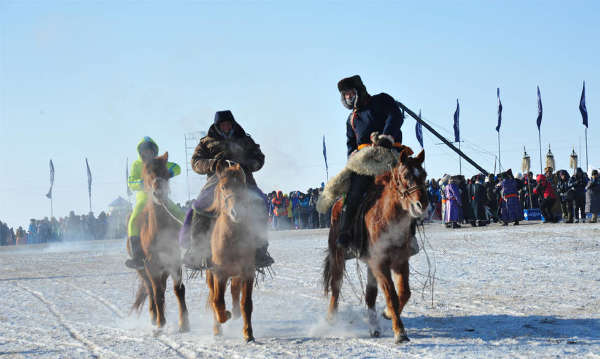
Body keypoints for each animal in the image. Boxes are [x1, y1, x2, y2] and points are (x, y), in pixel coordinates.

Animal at [130, 153, 189, 334]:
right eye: (147, 173)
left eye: (165, 172)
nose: (158, 193)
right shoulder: (151, 265)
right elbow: (157, 293)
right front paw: (160, 322)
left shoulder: (174, 260)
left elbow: (179, 290)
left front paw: (184, 323)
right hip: (144, 270)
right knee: (151, 290)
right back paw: (154, 316)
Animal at [204, 163, 264, 344]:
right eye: (223, 187)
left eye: (243, 187)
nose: (236, 213)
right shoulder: (219, 274)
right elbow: (217, 301)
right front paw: (225, 316)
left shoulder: (248, 272)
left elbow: (246, 303)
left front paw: (248, 334)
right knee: (214, 297)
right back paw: (218, 328)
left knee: (235, 292)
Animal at [324, 149, 426, 344]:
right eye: (405, 175)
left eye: (424, 174)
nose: (421, 205)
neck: (387, 218)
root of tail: (337, 204)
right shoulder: (380, 263)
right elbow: (391, 296)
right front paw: (400, 332)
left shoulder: (400, 262)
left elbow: (404, 293)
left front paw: (387, 314)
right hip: (337, 255)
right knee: (336, 286)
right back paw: (331, 319)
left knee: (370, 294)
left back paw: (374, 327)